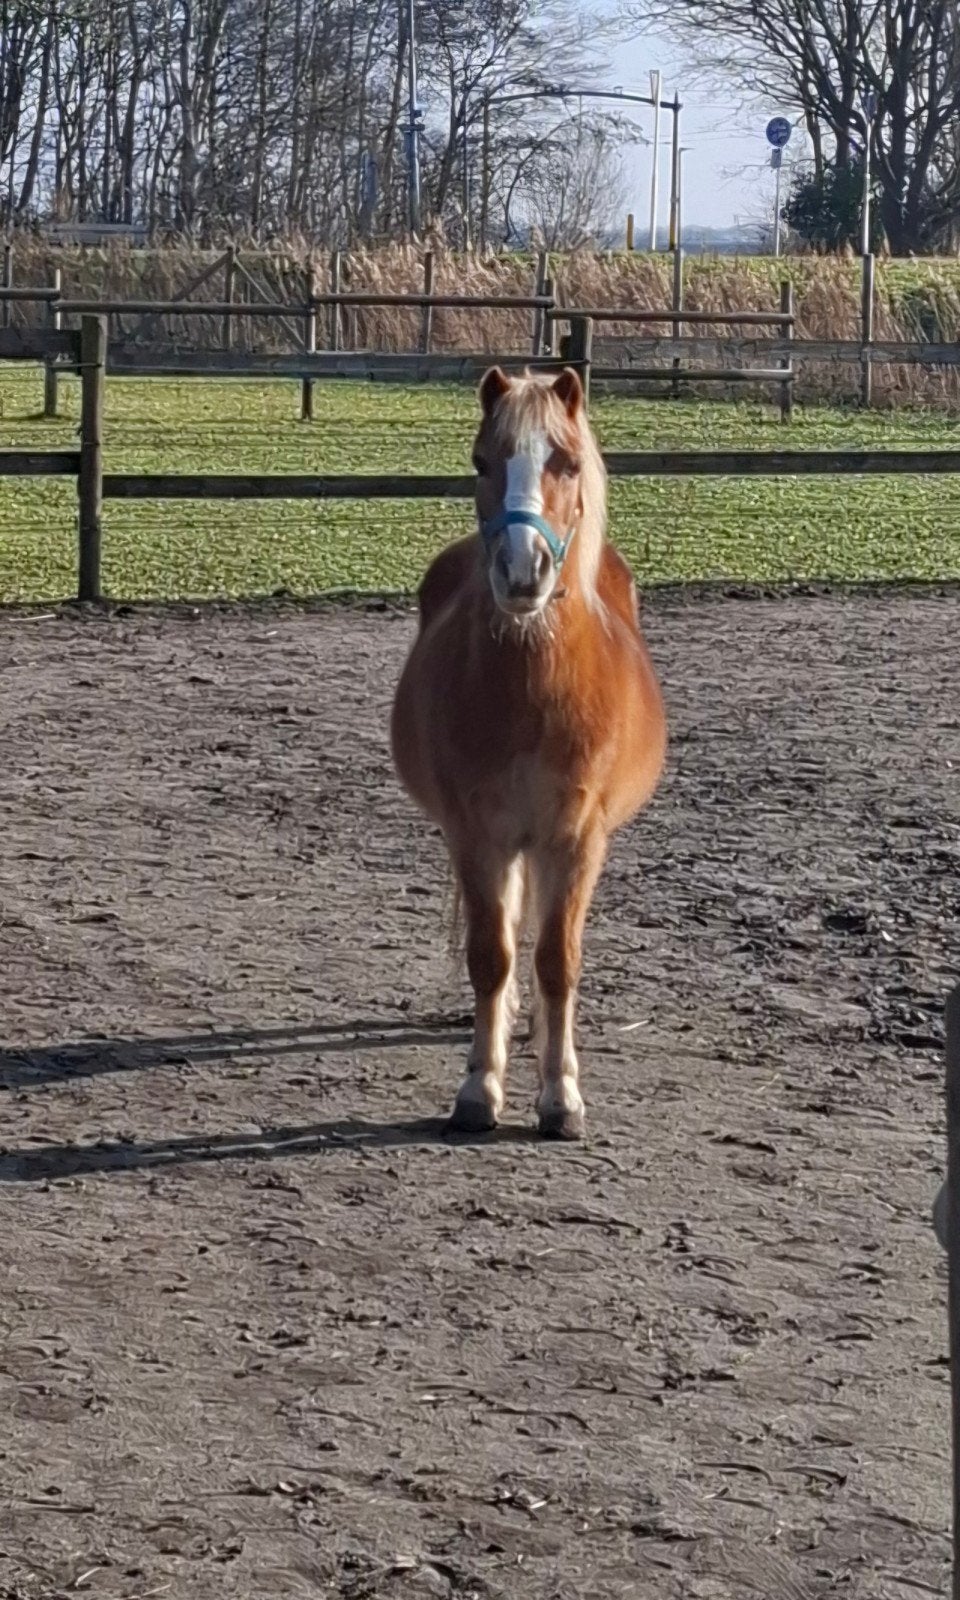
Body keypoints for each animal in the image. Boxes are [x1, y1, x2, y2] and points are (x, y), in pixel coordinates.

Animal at [390, 363, 667, 1139]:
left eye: (566, 462)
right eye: (482, 461)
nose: (522, 571)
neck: (532, 688)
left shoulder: (575, 838)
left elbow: (557, 960)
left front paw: (560, 1094)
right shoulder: (478, 835)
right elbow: (493, 955)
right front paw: (479, 1087)